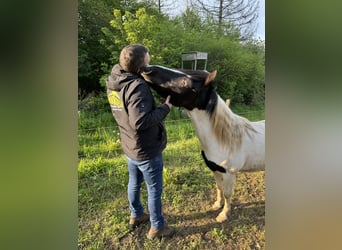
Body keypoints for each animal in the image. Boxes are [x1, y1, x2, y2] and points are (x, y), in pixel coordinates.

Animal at [140, 65, 266, 223]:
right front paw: (217, 205)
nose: (148, 69)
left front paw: (224, 215)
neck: (224, 139)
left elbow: (227, 194)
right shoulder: (215, 169)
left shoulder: (229, 173)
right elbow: (219, 188)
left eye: (187, 82)